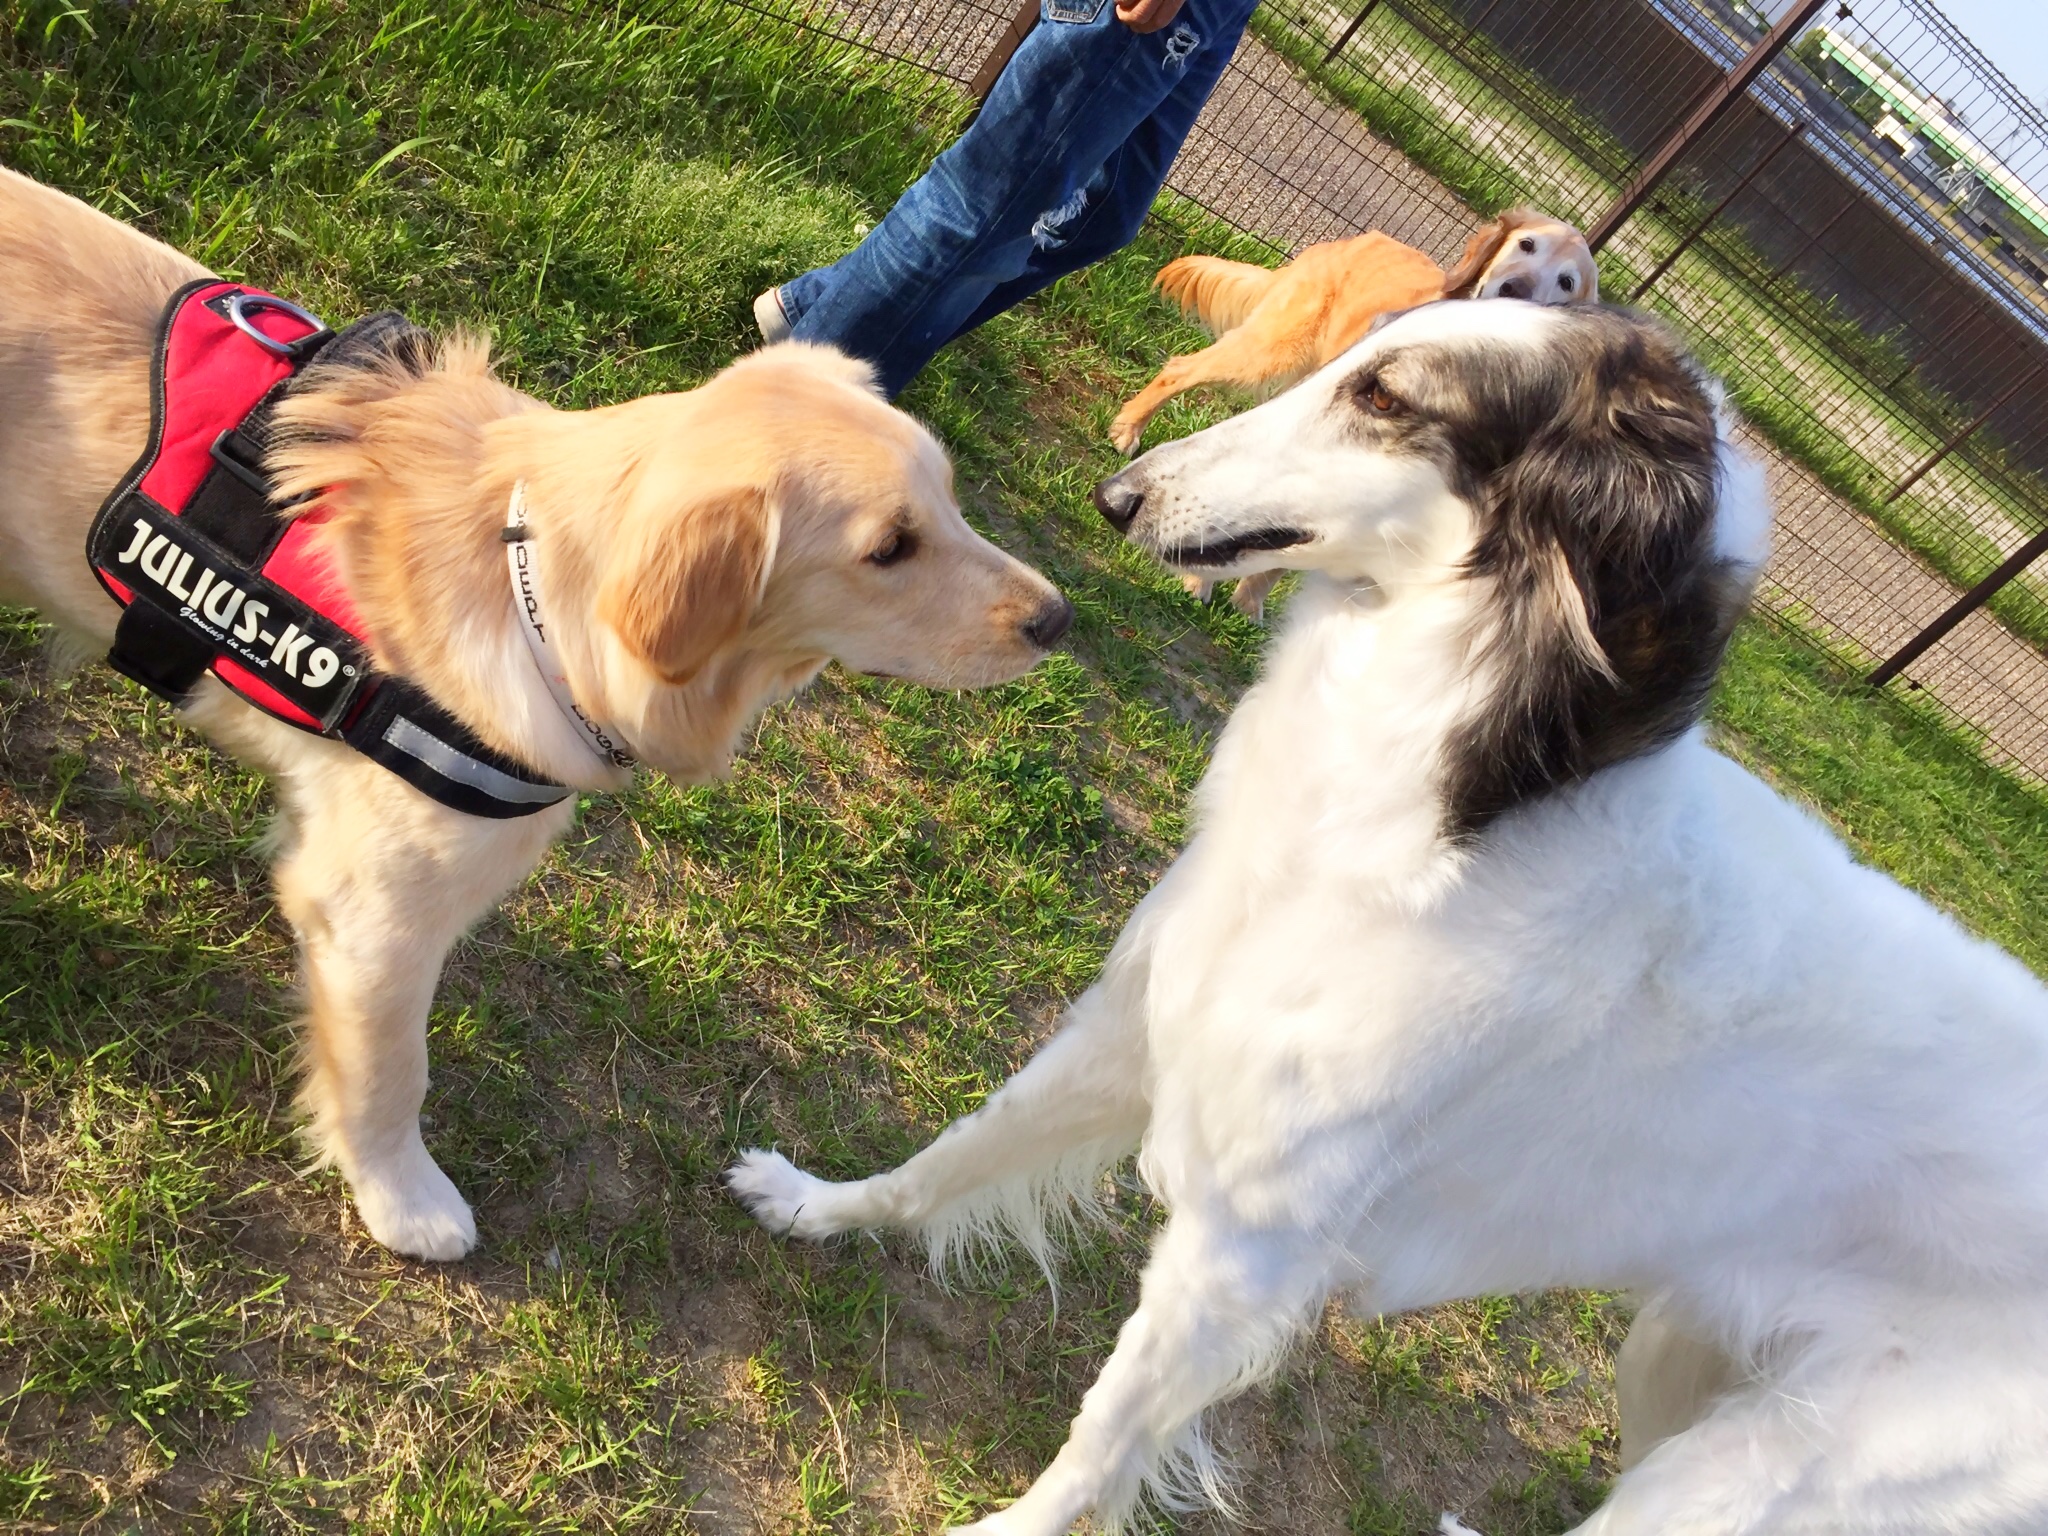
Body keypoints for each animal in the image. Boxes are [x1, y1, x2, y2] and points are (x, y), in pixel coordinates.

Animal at [0, 165, 1072, 1262]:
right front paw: (403, 1195)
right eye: (889, 548)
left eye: (950, 501)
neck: (533, 605)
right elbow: (392, 1072)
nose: (1057, 619)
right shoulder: (374, 913)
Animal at [733, 300, 2048, 1534]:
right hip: (1674, 1369)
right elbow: (951, 1155)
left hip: (1745, 1476)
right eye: (1352, 356)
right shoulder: (1136, 1028)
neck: (1430, 815)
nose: (1118, 493)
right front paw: (817, 1203)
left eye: (1380, 394)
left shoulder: (1245, 1245)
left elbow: (1098, 1443)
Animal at [1113, 207, 1597, 621]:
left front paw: (1248, 603)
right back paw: (1127, 429)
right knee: (1180, 369)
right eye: (1527, 245)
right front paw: (1205, 582)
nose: (1514, 289)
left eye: (1567, 282)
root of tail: (1355, 239)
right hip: (1268, 352)